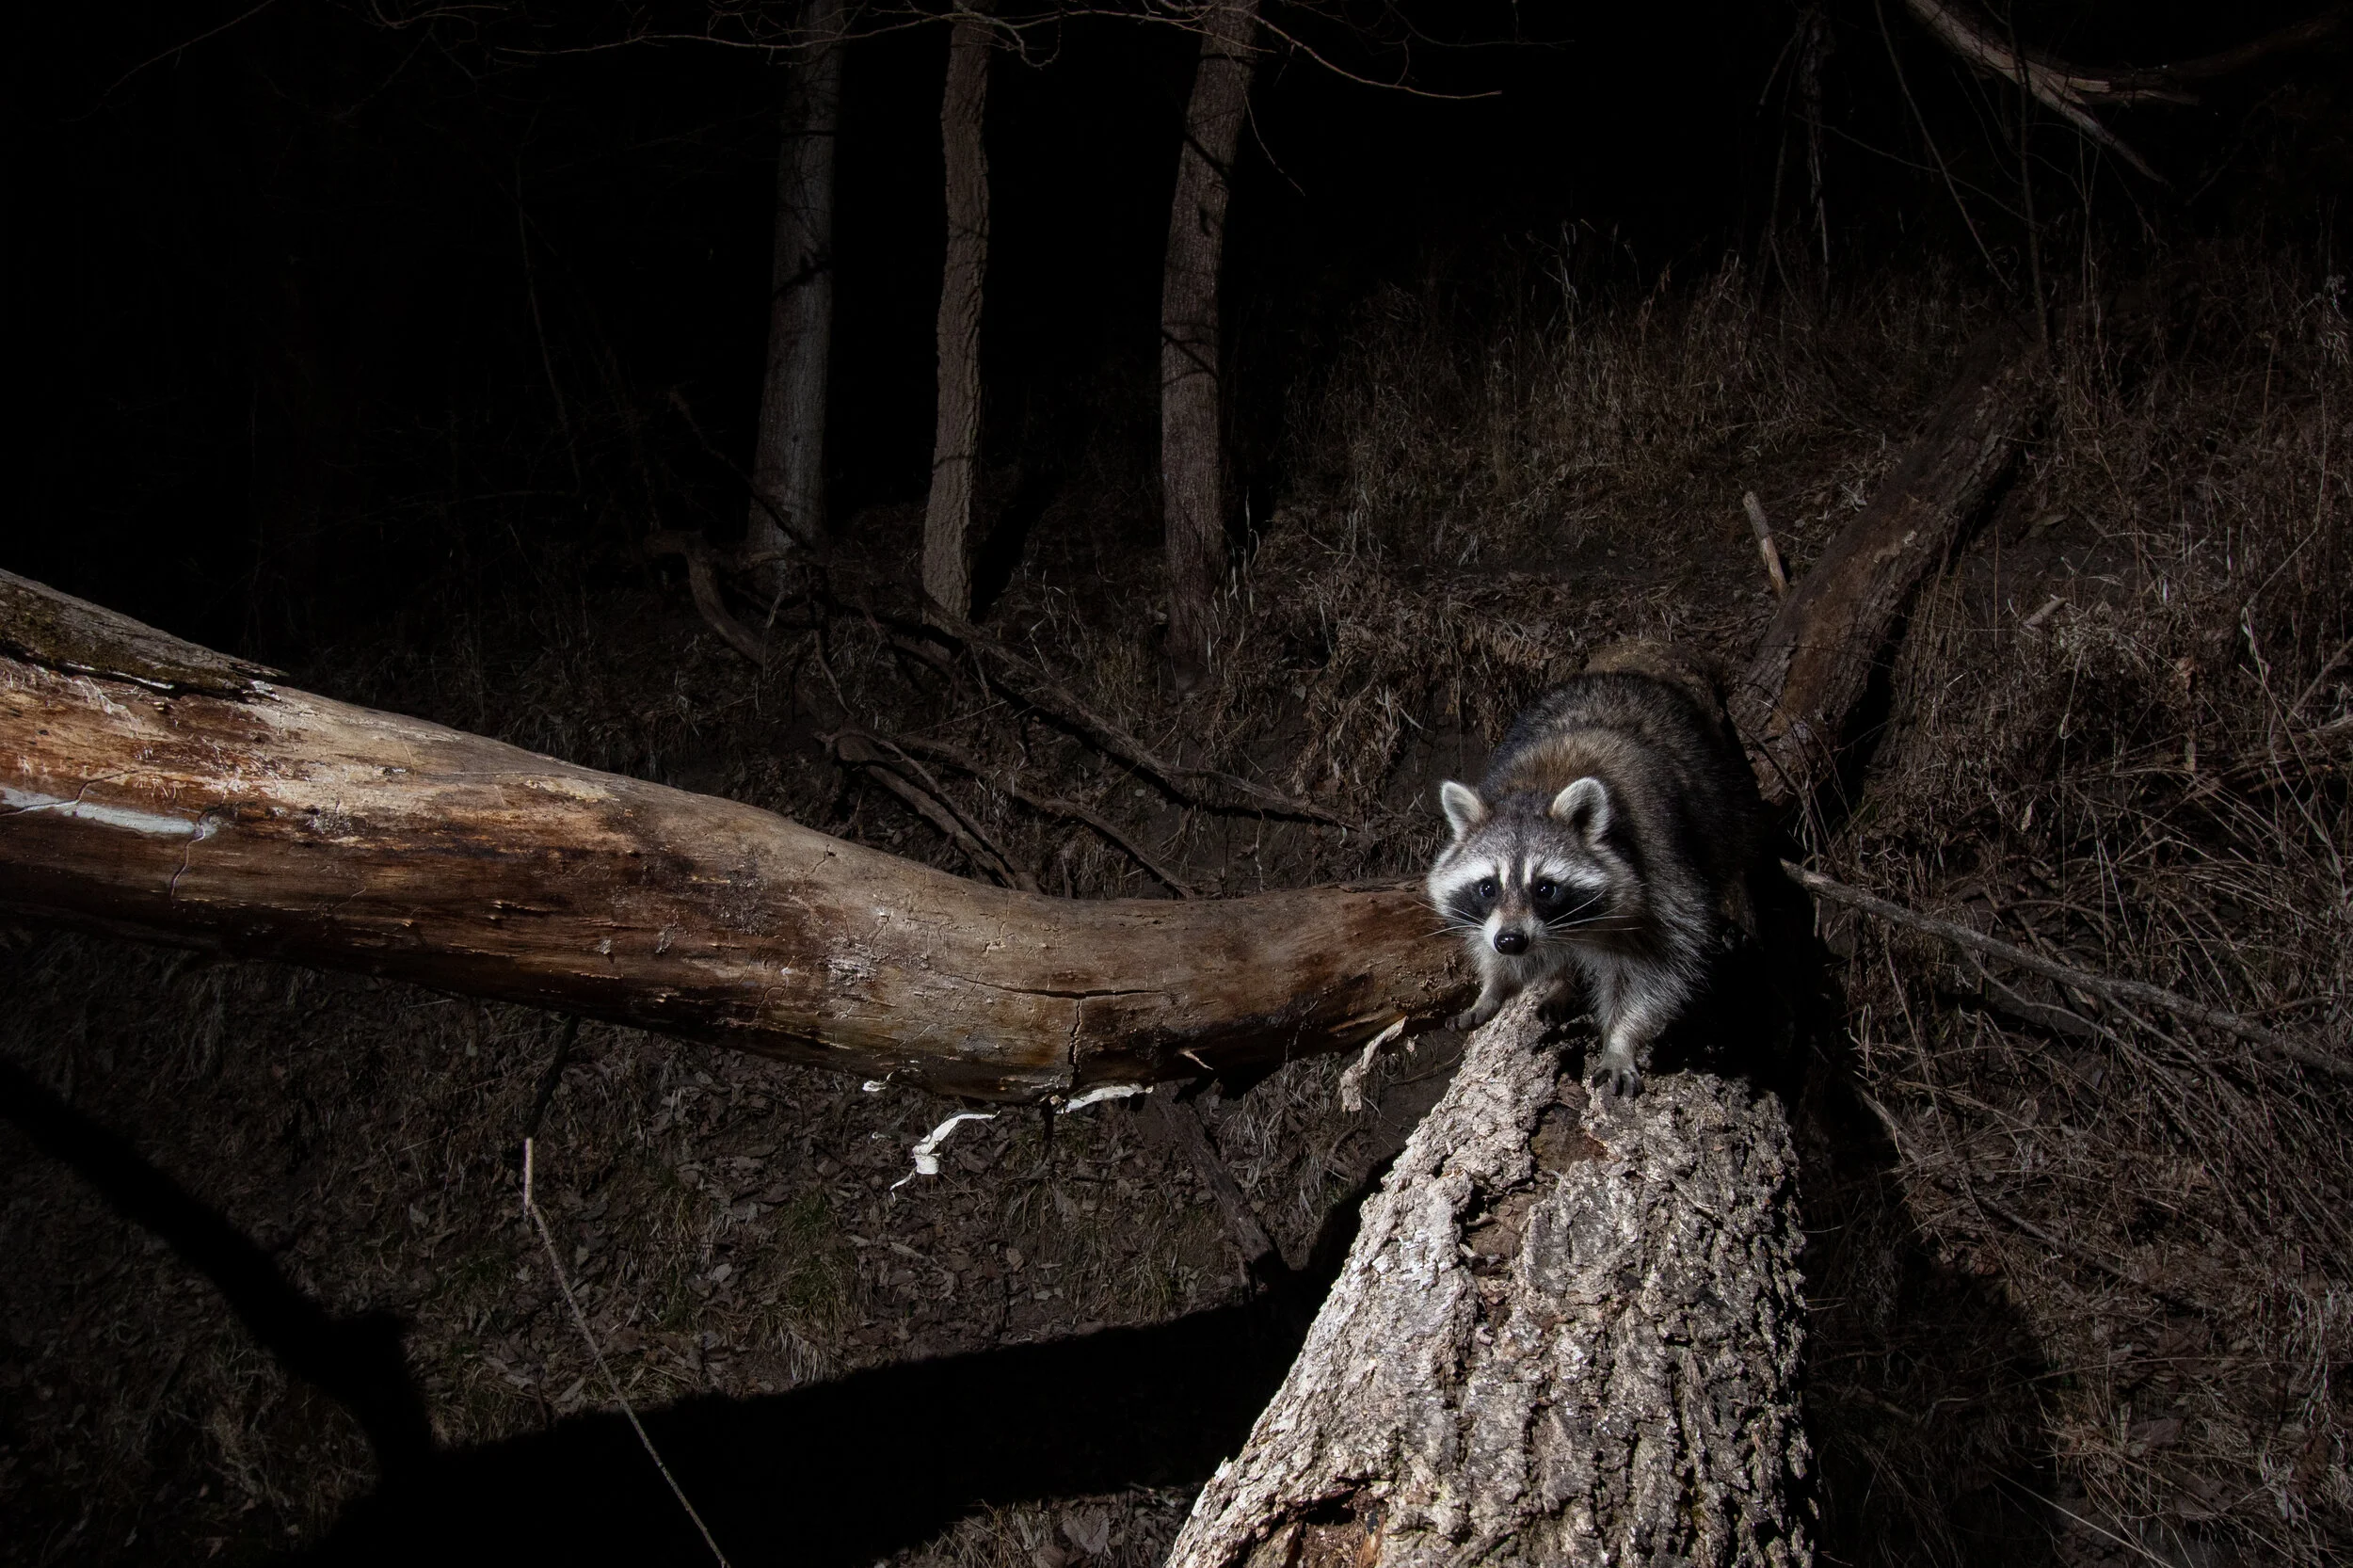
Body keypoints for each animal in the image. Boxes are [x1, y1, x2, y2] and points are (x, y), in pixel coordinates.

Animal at [1427, 651, 1764, 1097]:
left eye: (1545, 889)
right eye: (1487, 887)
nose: (1512, 941)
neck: (1538, 788)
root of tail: (1620, 677)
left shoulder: (1660, 871)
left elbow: (1657, 969)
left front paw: (1621, 1040)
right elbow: (1492, 944)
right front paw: (1494, 985)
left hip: (1720, 801)